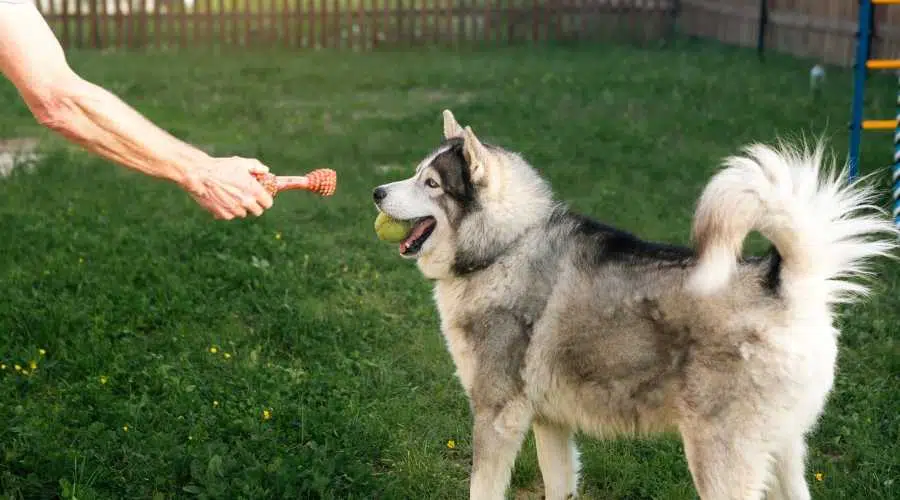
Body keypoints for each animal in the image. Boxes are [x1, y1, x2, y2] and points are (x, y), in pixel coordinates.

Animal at [370, 110, 892, 500]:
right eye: (415, 173)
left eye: (431, 183)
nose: (376, 192)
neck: (506, 246)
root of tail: (783, 282)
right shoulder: (550, 421)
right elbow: (559, 484)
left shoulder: (497, 417)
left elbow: (482, 488)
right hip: (783, 454)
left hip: (719, 458)